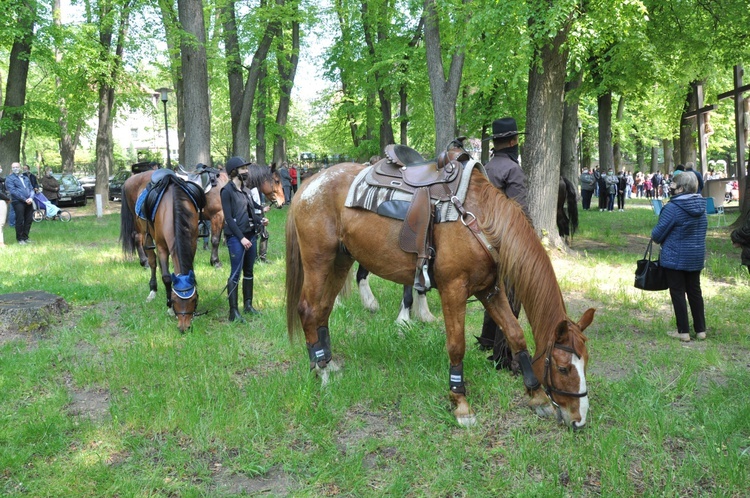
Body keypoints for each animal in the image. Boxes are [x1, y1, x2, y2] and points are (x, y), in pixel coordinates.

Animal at [118, 170, 201, 330]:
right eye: (174, 300)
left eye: (193, 300)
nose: (184, 326)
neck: (173, 208)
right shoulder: (162, 247)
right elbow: (167, 277)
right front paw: (169, 309)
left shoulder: (192, 243)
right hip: (144, 232)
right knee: (150, 258)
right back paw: (152, 289)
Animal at [288, 151, 600, 428]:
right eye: (563, 367)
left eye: (585, 362)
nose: (579, 419)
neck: (481, 219)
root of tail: (310, 182)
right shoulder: (453, 290)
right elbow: (456, 346)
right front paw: (460, 404)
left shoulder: (490, 289)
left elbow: (516, 335)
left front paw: (537, 397)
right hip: (319, 260)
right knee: (308, 310)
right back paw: (321, 371)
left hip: (340, 260)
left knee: (323, 310)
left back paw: (327, 364)